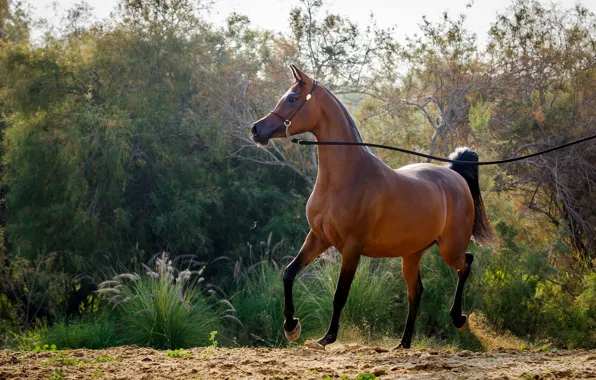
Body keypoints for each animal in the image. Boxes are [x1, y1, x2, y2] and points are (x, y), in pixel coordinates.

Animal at [249, 65, 492, 350]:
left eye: (292, 99)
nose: (256, 129)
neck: (346, 178)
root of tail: (453, 173)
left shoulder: (352, 248)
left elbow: (340, 294)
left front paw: (326, 338)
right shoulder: (319, 238)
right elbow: (289, 273)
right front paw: (291, 327)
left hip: (449, 248)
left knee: (466, 263)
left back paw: (459, 319)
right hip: (412, 253)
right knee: (416, 291)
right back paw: (403, 343)